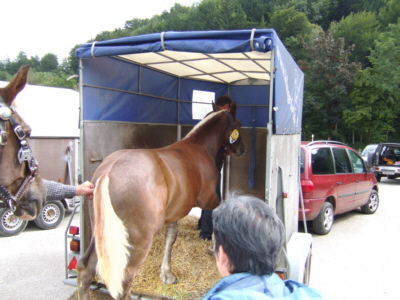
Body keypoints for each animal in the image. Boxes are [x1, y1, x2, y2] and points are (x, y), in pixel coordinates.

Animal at [75, 102, 244, 298]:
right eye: (238, 125)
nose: (242, 149)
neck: (200, 147)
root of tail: (108, 172)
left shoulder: (175, 211)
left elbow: (170, 238)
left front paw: (167, 274)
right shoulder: (208, 200)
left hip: (101, 235)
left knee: (86, 269)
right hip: (135, 244)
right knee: (124, 283)